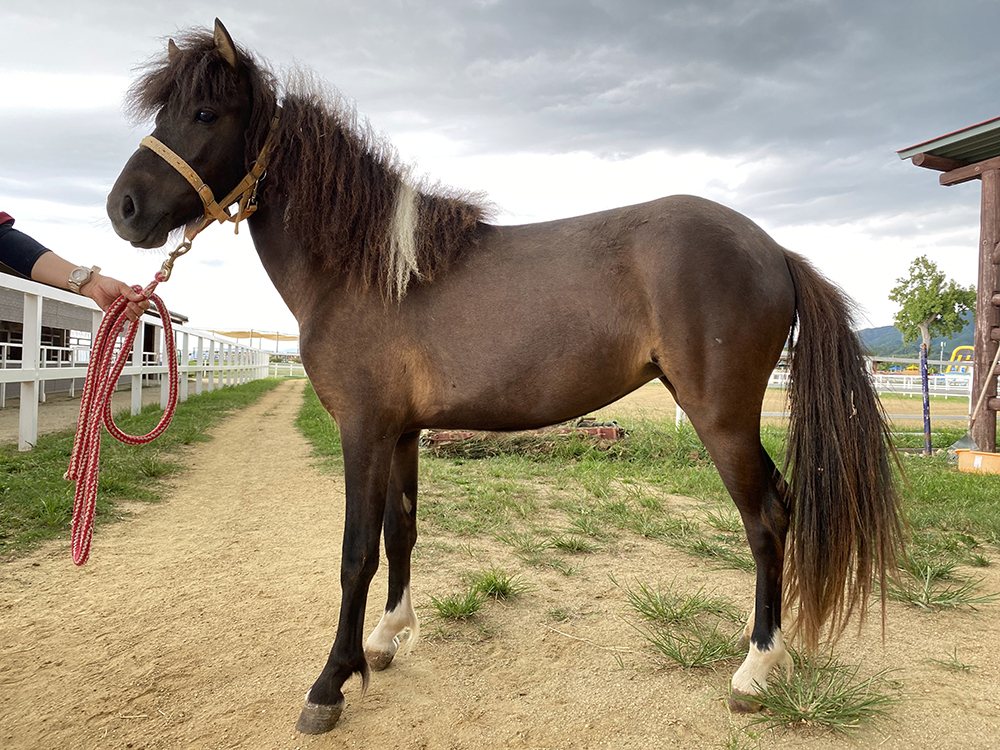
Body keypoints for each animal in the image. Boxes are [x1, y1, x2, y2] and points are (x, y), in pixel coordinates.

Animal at [107, 20, 900, 736]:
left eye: (205, 113)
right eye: (166, 110)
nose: (124, 209)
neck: (368, 271)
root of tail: (774, 250)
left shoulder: (363, 429)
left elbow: (355, 553)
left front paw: (331, 682)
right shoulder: (402, 432)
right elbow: (401, 532)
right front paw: (387, 638)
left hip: (722, 416)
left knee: (767, 516)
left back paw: (756, 668)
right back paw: (758, 637)